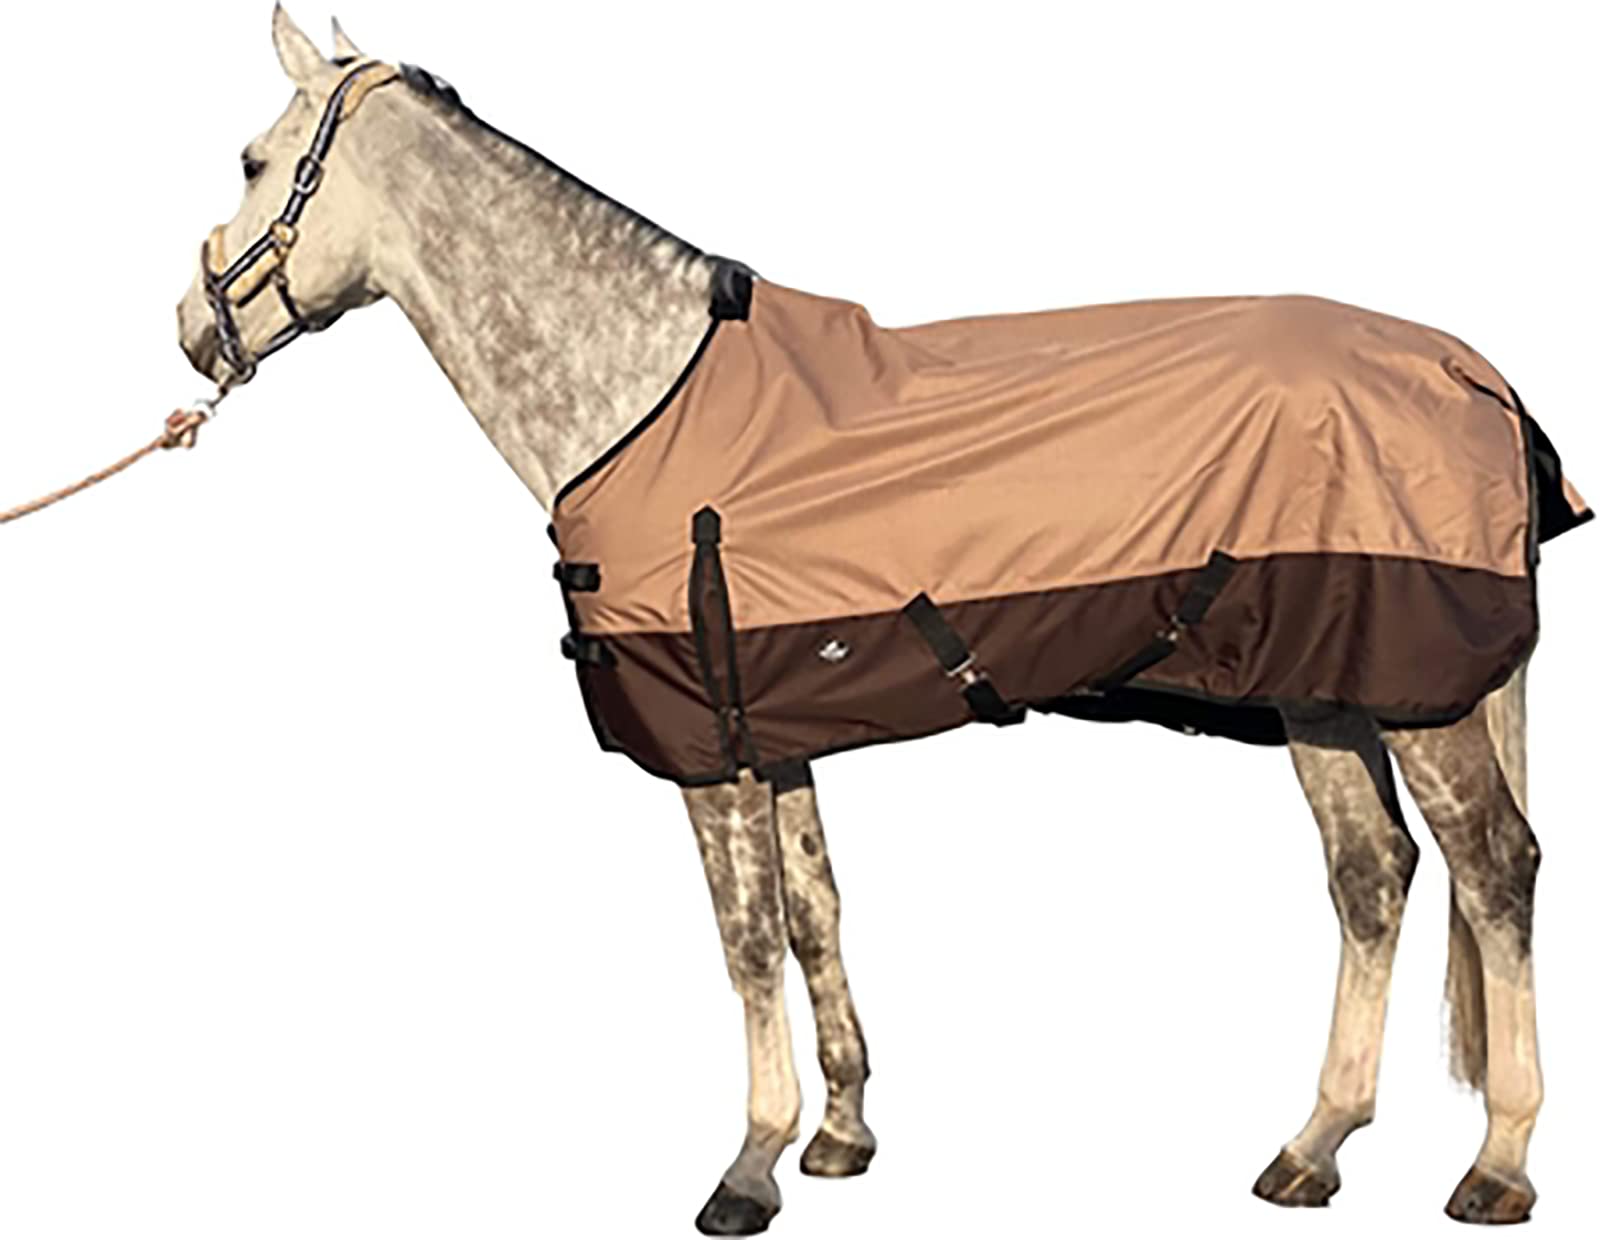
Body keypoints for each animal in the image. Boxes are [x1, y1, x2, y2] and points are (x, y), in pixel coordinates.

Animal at [174, 9, 1587, 1233]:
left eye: (252, 161)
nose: (192, 328)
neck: (642, 395)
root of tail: (1470, 371)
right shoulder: (774, 730)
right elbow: (815, 913)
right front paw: (840, 1133)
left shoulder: (711, 756)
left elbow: (746, 941)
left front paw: (746, 1166)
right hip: (1326, 695)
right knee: (1372, 877)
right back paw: (1310, 1146)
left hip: (1421, 699)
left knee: (1492, 870)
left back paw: (1498, 1164)